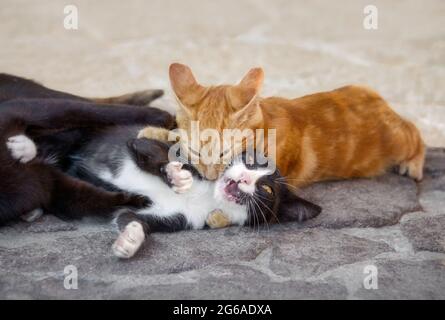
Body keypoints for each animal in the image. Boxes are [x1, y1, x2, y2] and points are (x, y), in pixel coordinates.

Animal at [141, 62, 424, 186]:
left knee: (415, 131)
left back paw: (414, 164)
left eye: (223, 154)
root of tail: (377, 98)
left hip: (399, 139)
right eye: (197, 152)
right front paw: (157, 131)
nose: (210, 177)